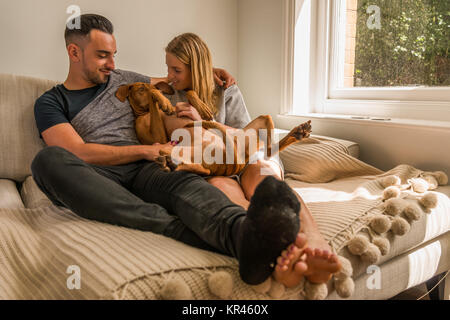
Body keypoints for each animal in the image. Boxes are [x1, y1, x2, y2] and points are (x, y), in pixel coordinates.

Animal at [116, 80, 312, 175]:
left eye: (147, 87)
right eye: (140, 89)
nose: (158, 90)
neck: (146, 112)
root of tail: (236, 164)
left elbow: (190, 93)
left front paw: (197, 105)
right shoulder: (158, 138)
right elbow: (154, 99)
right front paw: (163, 101)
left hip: (260, 123)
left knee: (270, 149)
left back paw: (299, 132)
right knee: (203, 169)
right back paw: (170, 163)